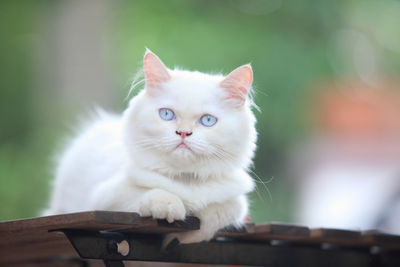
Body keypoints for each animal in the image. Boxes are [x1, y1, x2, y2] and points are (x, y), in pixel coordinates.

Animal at [43, 49, 256, 245]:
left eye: (208, 120)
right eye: (167, 114)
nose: (183, 133)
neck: (186, 181)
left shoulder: (235, 201)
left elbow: (223, 211)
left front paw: (181, 236)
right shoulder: (104, 197)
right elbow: (148, 193)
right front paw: (169, 206)